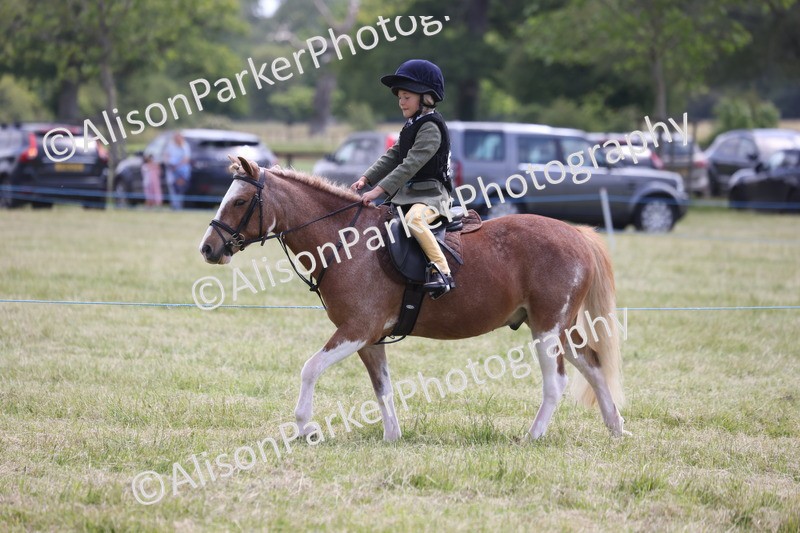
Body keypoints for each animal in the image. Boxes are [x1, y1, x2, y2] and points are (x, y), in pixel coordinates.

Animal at [199, 156, 627, 442]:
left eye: (239, 202)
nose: (208, 248)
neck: (345, 240)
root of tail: (576, 234)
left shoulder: (357, 329)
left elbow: (310, 369)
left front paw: (306, 428)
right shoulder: (370, 339)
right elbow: (382, 387)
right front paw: (392, 437)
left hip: (547, 329)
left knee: (556, 382)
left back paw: (533, 437)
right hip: (560, 329)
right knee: (592, 365)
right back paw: (616, 427)